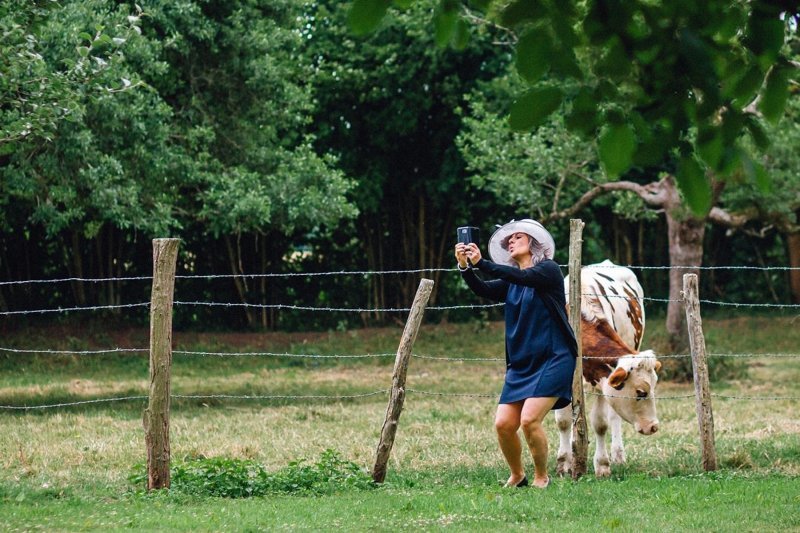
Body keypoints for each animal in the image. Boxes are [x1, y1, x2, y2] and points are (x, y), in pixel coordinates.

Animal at [556, 260, 664, 476]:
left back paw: (618, 455)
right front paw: (564, 462)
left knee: (614, 417)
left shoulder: (603, 384)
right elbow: (563, 420)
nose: (653, 426)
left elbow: (600, 423)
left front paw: (603, 465)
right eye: (640, 392)